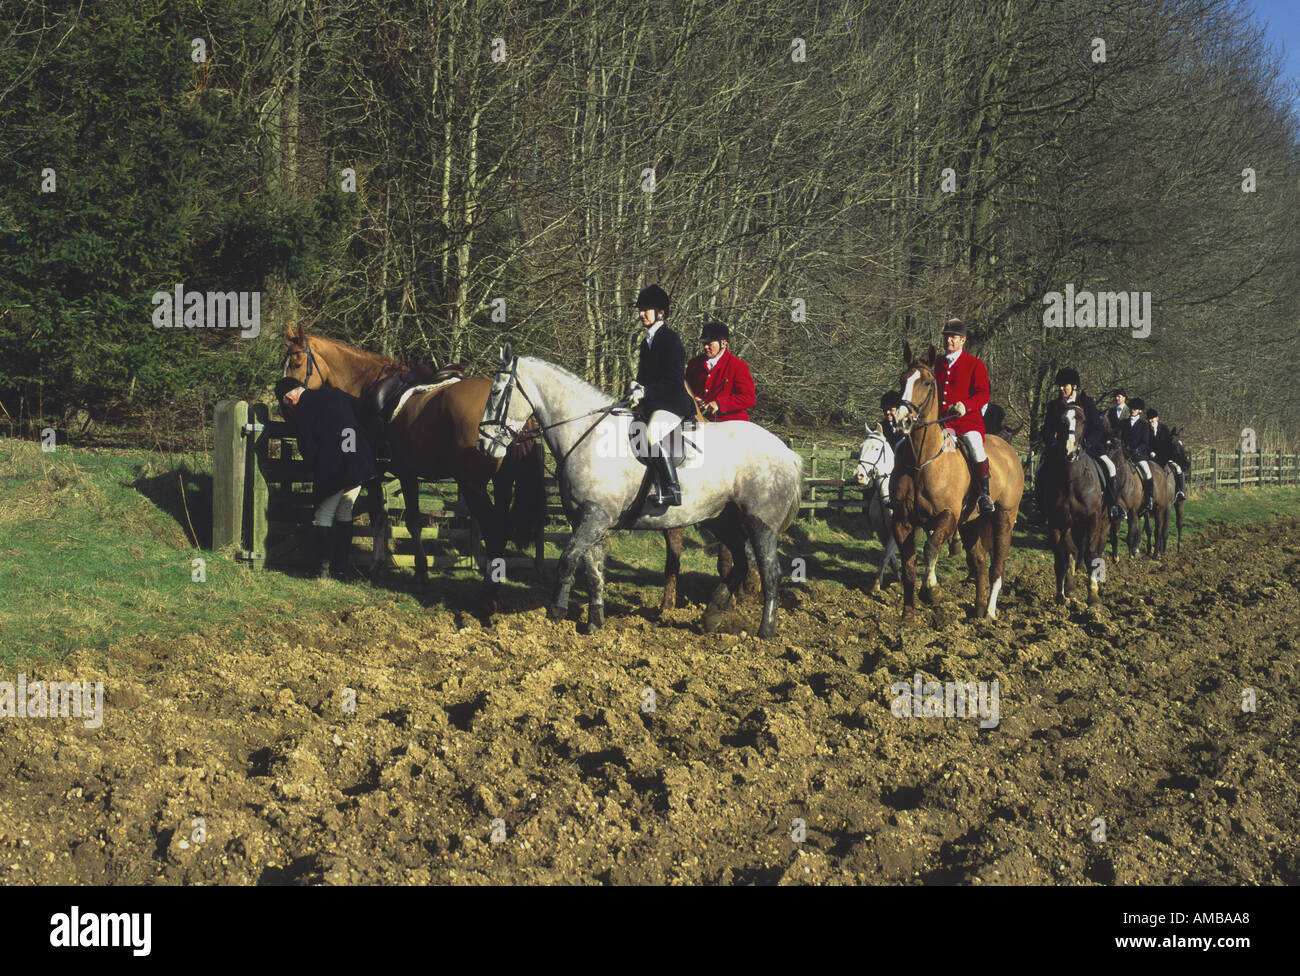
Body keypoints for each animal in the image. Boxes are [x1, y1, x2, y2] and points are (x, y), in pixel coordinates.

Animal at [282, 328, 546, 603]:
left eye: (296, 363)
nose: (286, 401)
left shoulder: (391, 474)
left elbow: (390, 518)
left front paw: (387, 568)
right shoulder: (407, 474)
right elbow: (407, 520)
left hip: (473, 485)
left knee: (494, 529)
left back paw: (488, 592)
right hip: (502, 483)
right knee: (502, 528)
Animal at [478, 345, 800, 642]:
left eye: (495, 392)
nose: (483, 444)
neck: (587, 434)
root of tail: (786, 452)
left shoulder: (595, 517)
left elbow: (567, 560)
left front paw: (557, 611)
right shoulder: (589, 521)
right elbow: (593, 572)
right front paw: (595, 623)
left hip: (761, 523)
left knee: (770, 572)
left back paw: (765, 630)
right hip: (719, 518)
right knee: (742, 561)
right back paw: (712, 615)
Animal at [889, 343, 1019, 618]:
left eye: (928, 382)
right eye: (902, 380)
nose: (901, 421)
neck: (921, 461)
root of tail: (1010, 451)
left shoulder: (947, 516)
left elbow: (930, 547)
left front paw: (931, 590)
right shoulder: (902, 520)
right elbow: (908, 567)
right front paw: (907, 616)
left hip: (1004, 519)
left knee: (997, 566)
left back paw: (990, 612)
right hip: (971, 523)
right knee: (979, 562)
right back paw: (978, 610)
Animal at [1034, 402, 1107, 603]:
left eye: (1082, 420)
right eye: (1061, 421)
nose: (1070, 452)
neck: (1071, 480)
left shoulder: (1092, 518)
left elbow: (1090, 554)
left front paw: (1093, 596)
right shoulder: (1057, 522)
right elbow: (1061, 557)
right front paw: (1061, 596)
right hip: (1070, 525)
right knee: (1072, 550)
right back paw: (1070, 586)